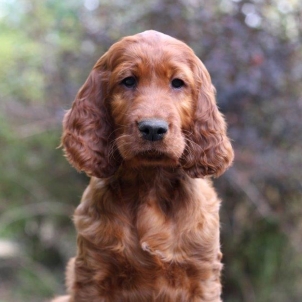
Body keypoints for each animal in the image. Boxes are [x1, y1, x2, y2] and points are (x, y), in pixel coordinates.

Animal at [52, 30, 234, 302]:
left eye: (177, 83)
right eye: (128, 81)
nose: (153, 129)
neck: (150, 184)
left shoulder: (203, 276)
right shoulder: (93, 273)